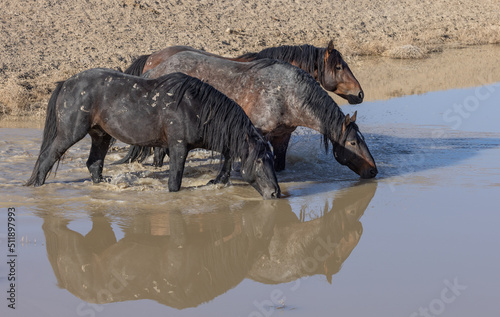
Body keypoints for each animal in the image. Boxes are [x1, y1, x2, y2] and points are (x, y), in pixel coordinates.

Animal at [25, 69, 282, 198]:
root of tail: (66, 83)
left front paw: (218, 179)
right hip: (70, 133)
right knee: (47, 159)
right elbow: (174, 182)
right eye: (260, 160)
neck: (196, 106)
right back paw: (37, 188)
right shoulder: (178, 146)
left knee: (94, 165)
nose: (275, 193)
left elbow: (228, 156)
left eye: (272, 159)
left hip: (101, 136)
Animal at [116, 52, 376, 179]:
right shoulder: (252, 131)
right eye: (353, 143)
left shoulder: (282, 137)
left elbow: (279, 164)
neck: (287, 94)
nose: (373, 171)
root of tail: (153, 69)